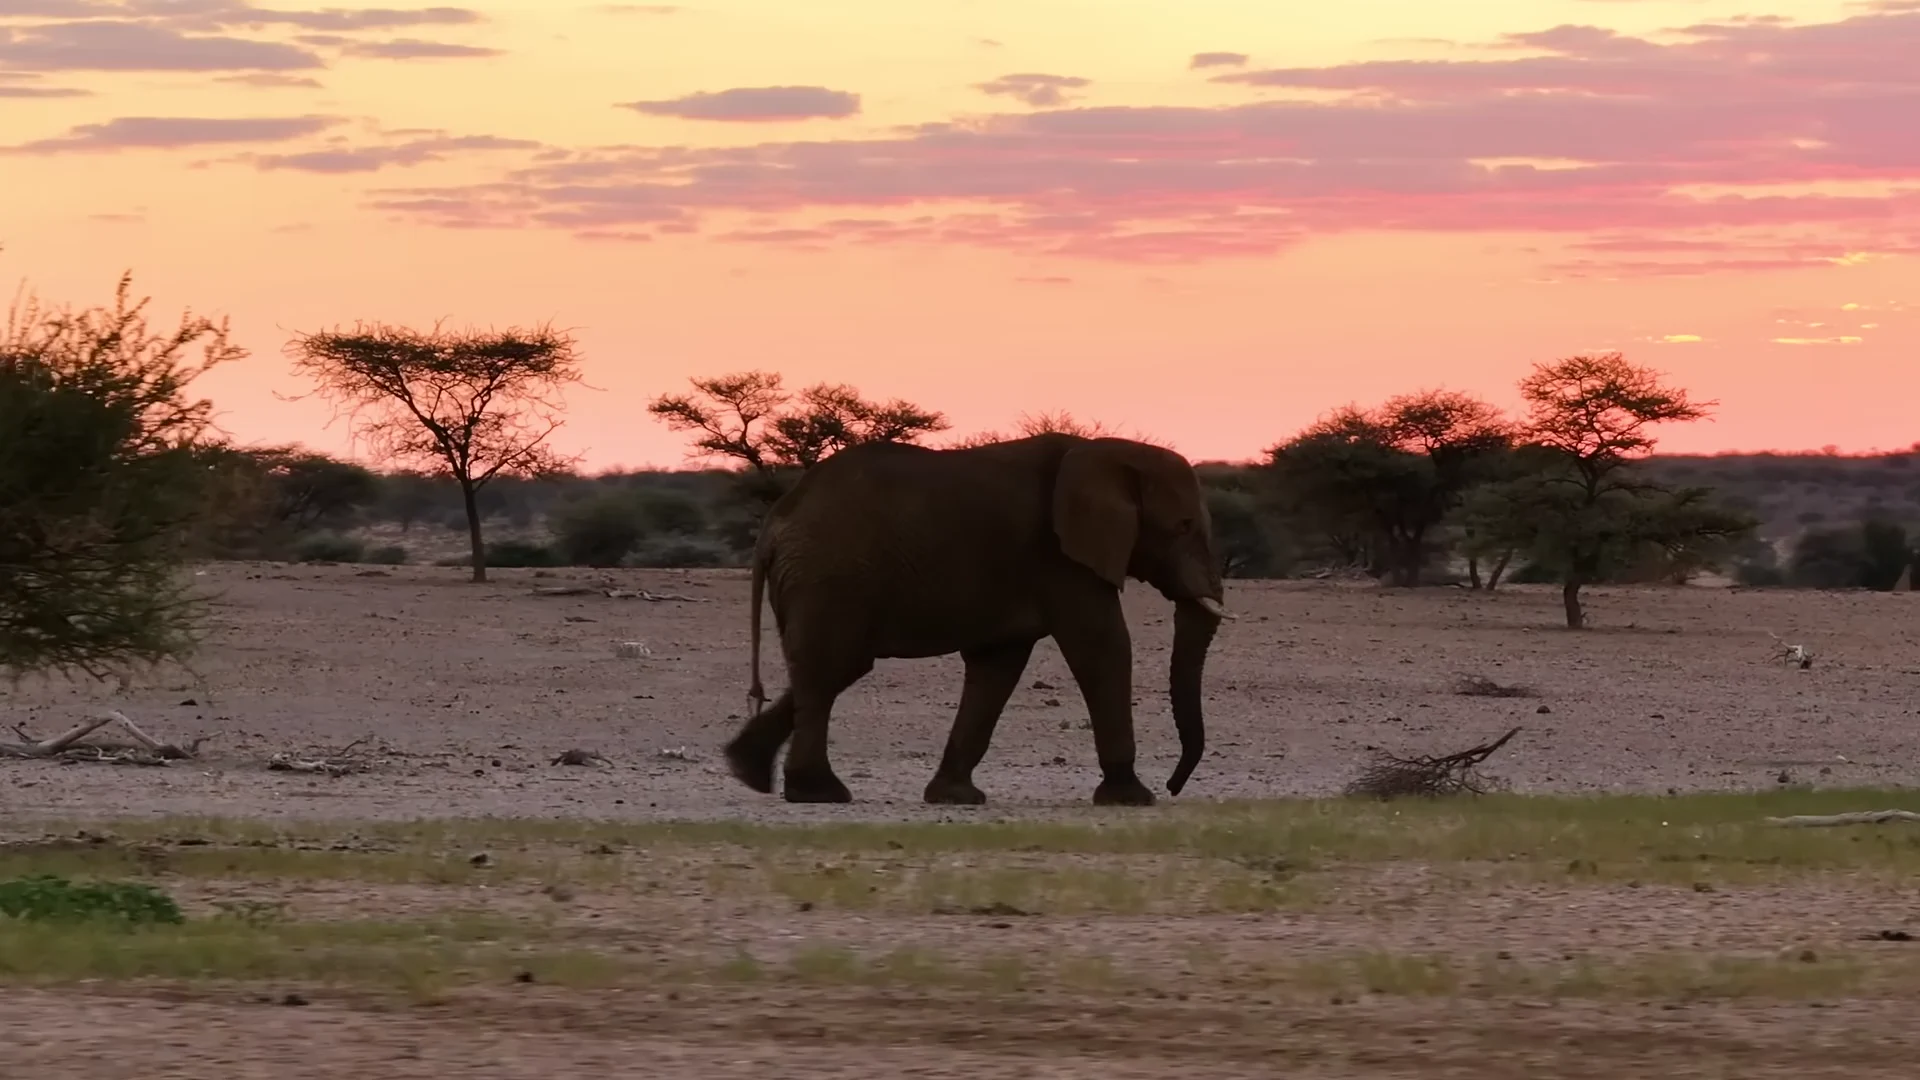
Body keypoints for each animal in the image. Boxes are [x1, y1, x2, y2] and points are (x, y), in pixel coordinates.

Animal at [721, 432, 1235, 807]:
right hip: (829, 576)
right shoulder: (1060, 558)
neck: (1104, 449)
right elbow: (1102, 646)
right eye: (1183, 527)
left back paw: (747, 771)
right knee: (832, 666)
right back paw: (819, 793)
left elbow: (997, 666)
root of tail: (775, 520)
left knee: (830, 669)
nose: (1174, 786)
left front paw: (954, 797)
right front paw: (1132, 798)